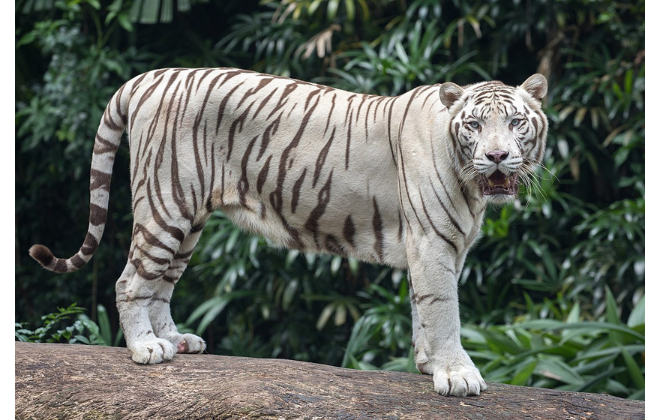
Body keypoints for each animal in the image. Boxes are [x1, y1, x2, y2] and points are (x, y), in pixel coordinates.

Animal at [29, 68, 548, 396]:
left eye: (516, 123)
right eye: (475, 125)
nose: (497, 157)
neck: (473, 186)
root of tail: (147, 77)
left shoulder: (437, 247)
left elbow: (423, 308)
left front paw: (427, 365)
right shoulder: (433, 242)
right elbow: (444, 310)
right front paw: (457, 375)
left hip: (188, 219)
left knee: (161, 285)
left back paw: (176, 341)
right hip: (166, 204)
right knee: (131, 281)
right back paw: (146, 348)